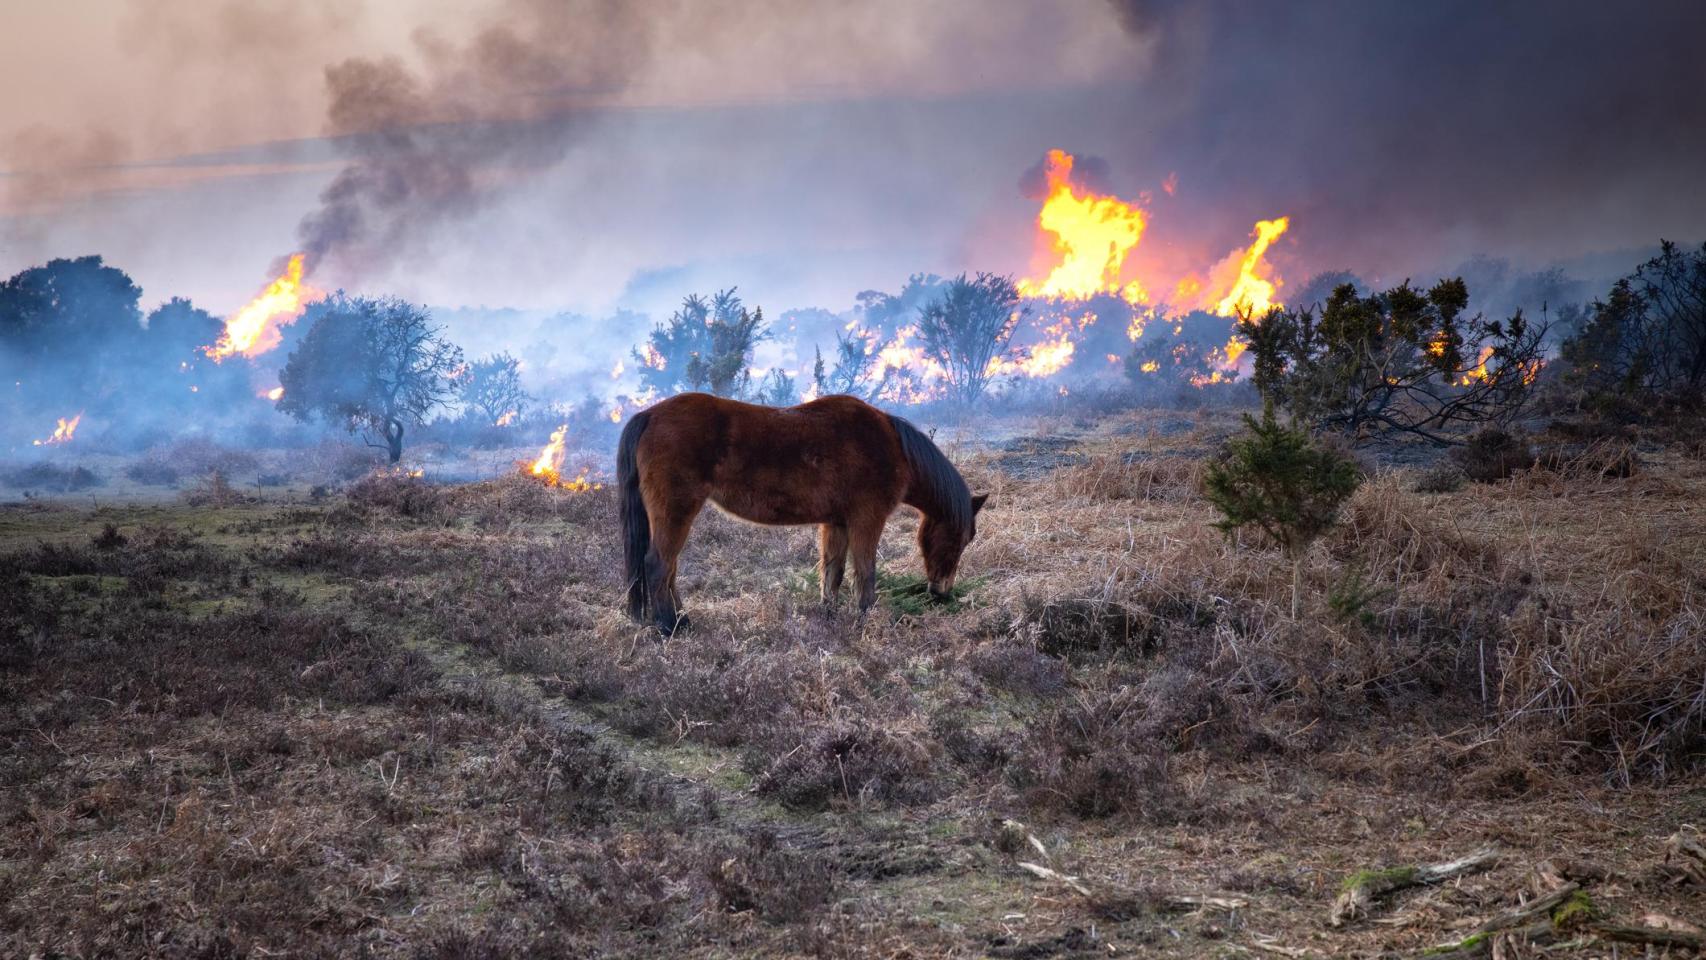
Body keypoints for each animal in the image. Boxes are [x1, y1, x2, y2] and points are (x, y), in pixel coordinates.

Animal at [616, 392, 987, 634]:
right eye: (960, 538)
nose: (941, 592)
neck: (890, 446)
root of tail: (650, 415)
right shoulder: (867, 520)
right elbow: (865, 572)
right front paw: (865, 618)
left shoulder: (837, 522)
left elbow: (833, 571)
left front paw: (829, 614)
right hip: (676, 512)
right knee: (659, 565)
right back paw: (670, 627)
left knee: (668, 569)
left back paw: (681, 620)